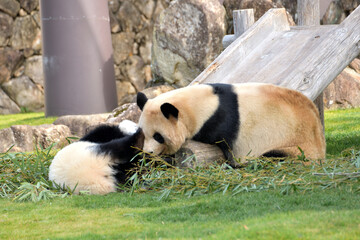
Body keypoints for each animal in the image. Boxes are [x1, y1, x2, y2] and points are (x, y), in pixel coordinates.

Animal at [136, 82, 326, 167]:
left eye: (158, 136)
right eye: (144, 134)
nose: (148, 152)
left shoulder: (220, 123)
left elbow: (229, 149)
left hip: (296, 143)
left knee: (275, 155)